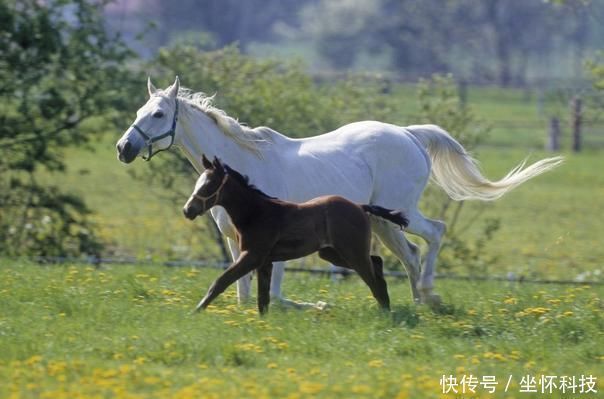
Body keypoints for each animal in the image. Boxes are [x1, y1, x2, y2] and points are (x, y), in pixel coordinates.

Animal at [183, 156, 410, 316]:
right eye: (197, 183)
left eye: (209, 185)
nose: (188, 210)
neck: (256, 213)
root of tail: (360, 207)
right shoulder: (265, 262)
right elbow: (263, 297)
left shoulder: (252, 256)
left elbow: (221, 281)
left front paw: (195, 311)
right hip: (332, 253)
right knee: (377, 263)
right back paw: (386, 308)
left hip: (352, 253)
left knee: (373, 277)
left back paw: (385, 312)